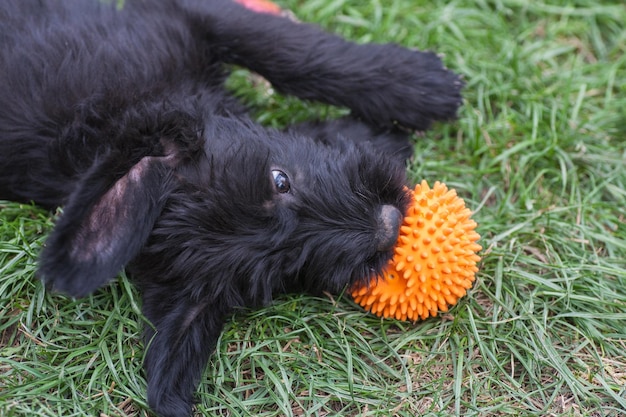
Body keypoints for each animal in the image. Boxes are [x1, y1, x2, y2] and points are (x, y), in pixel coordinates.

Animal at [0, 1, 458, 414]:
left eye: (280, 180)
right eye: (285, 266)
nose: (389, 225)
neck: (114, 111)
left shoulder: (185, 17)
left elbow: (291, 53)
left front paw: (418, 86)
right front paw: (373, 131)